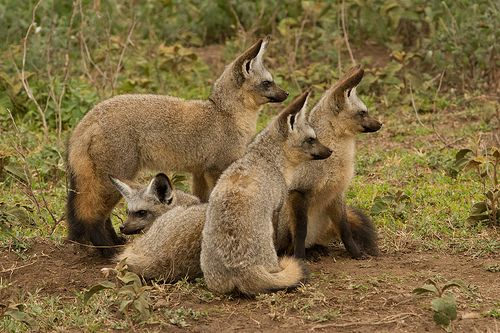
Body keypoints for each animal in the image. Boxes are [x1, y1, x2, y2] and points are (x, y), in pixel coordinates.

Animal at [65, 35, 290, 254]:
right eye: (267, 83)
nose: (287, 94)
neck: (223, 113)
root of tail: (88, 119)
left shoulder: (200, 172)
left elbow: (200, 201)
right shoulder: (217, 168)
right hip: (112, 181)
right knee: (92, 216)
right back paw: (106, 249)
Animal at [278, 64, 382, 256]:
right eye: (363, 113)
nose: (380, 124)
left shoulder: (336, 194)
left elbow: (345, 230)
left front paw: (356, 254)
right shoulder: (298, 193)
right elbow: (300, 234)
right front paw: (300, 258)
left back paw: (316, 249)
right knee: (285, 247)